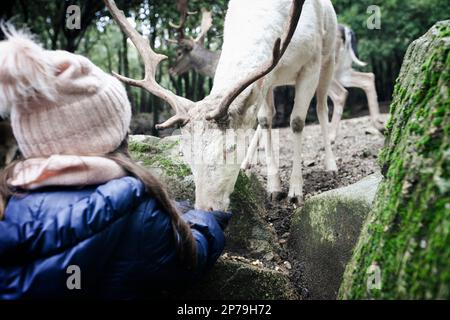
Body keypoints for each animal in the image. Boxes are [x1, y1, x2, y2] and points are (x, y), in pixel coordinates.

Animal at [104, 0, 338, 210]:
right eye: (185, 152)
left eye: (230, 148)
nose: (205, 208)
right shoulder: (266, 78)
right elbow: (264, 120)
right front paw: (274, 188)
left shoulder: (311, 63)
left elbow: (297, 122)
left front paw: (295, 192)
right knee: (269, 117)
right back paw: (249, 164)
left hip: (329, 59)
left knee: (322, 107)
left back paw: (331, 165)